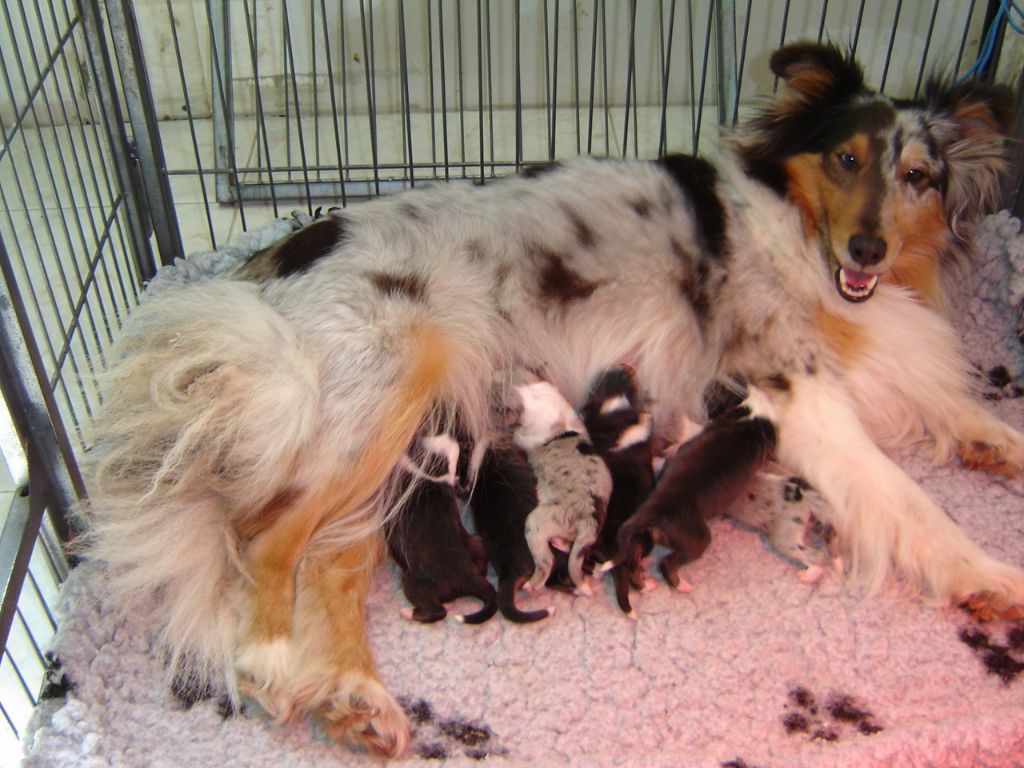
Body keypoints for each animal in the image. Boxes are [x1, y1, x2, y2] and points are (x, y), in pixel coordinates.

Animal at [516, 382, 610, 593]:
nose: (519, 389)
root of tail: (590, 518)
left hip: (537, 522)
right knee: (569, 547)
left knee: (546, 562)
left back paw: (531, 585)